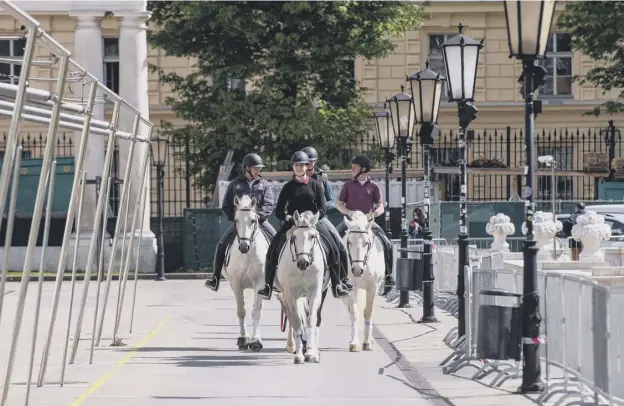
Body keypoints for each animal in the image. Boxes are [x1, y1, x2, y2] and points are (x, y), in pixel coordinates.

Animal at [224, 195, 270, 350]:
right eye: (236, 220)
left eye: (253, 220)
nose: (244, 246)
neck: (246, 256)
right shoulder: (236, 284)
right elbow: (241, 310)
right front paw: (244, 338)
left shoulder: (260, 284)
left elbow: (256, 312)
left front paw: (256, 341)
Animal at [276, 211, 330, 364]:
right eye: (294, 237)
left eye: (312, 236)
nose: (302, 263)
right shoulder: (289, 294)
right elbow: (296, 321)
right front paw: (299, 354)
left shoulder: (315, 292)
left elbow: (311, 320)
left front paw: (311, 353)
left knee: (317, 317)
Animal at [342, 211, 386, 350]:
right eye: (349, 242)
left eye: (366, 243)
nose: (357, 270)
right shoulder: (351, 288)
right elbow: (354, 312)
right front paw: (354, 343)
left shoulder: (373, 288)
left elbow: (368, 312)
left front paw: (367, 342)